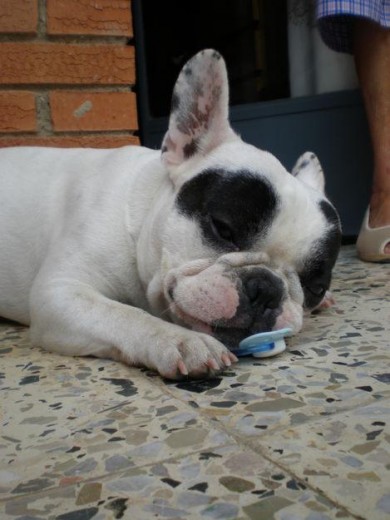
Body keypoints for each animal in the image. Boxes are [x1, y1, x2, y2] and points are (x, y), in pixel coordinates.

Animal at [0, 49, 340, 378]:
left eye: (315, 287)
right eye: (223, 228)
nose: (266, 288)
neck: (138, 224)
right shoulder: (60, 292)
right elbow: (123, 313)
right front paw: (180, 340)